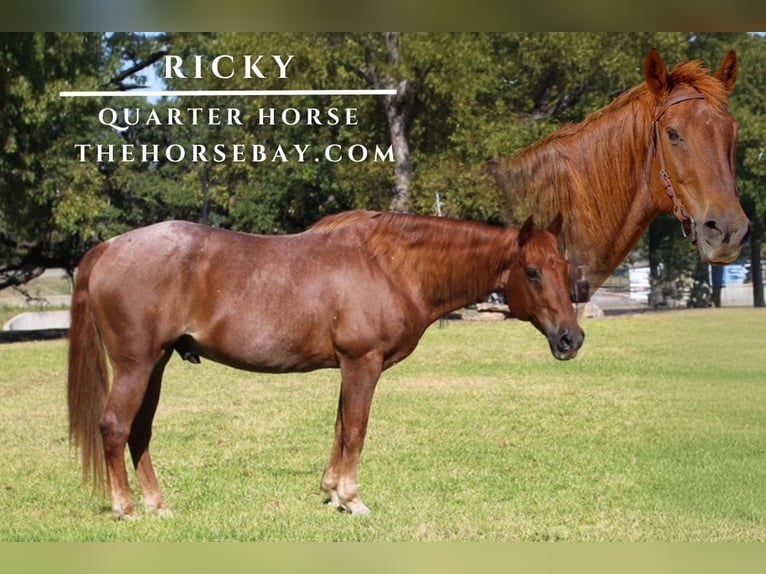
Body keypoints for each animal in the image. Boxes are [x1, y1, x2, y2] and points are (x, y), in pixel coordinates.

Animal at [67, 210, 584, 518]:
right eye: (532, 272)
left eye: (564, 268)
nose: (571, 339)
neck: (390, 265)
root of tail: (109, 247)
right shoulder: (362, 363)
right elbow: (355, 429)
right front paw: (352, 500)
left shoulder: (349, 367)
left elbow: (339, 428)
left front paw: (332, 491)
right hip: (136, 365)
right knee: (114, 427)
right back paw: (126, 508)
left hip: (155, 364)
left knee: (139, 431)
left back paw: (157, 505)